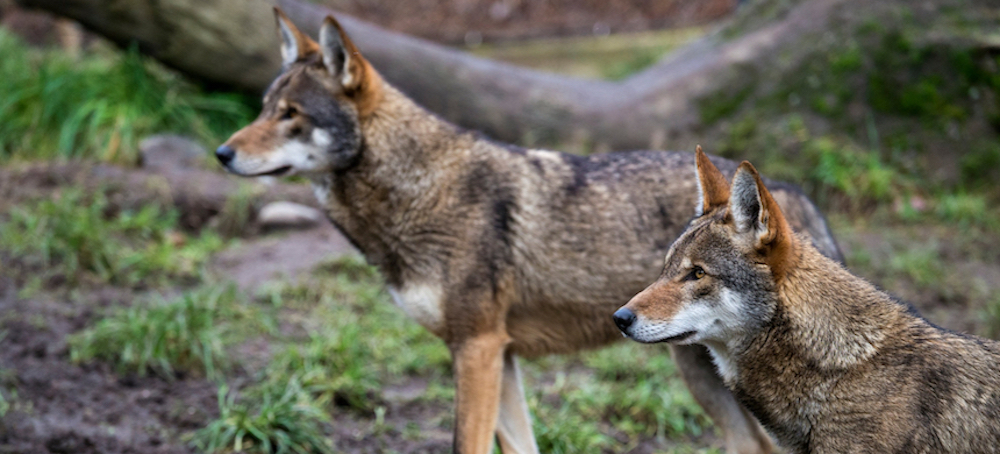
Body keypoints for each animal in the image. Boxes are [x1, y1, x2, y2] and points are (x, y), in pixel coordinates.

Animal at [215, 9, 843, 454]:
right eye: (265, 107)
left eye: (291, 115)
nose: (221, 154)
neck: (421, 191)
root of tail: (792, 194)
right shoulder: (499, 355)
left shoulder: (478, 347)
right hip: (704, 379)